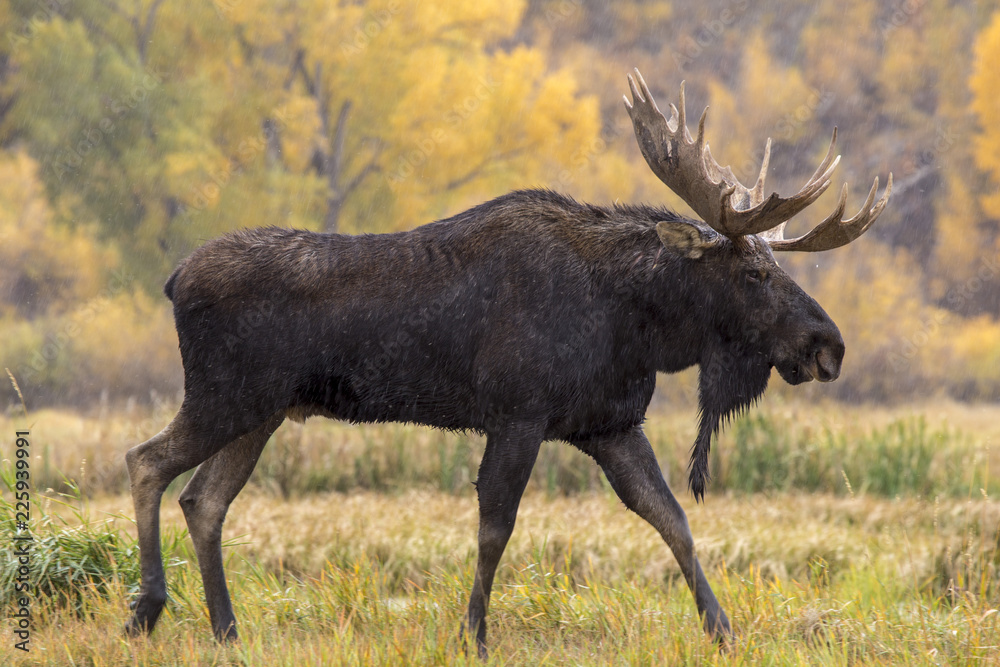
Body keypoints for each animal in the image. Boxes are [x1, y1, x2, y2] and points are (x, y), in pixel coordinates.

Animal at [123, 70, 892, 656]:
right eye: (755, 274)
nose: (829, 345)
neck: (637, 324)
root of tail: (172, 279)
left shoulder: (609, 423)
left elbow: (671, 517)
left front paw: (723, 631)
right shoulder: (518, 415)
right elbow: (496, 526)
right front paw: (473, 635)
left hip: (264, 412)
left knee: (204, 498)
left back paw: (226, 629)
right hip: (225, 396)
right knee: (146, 461)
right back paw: (148, 608)